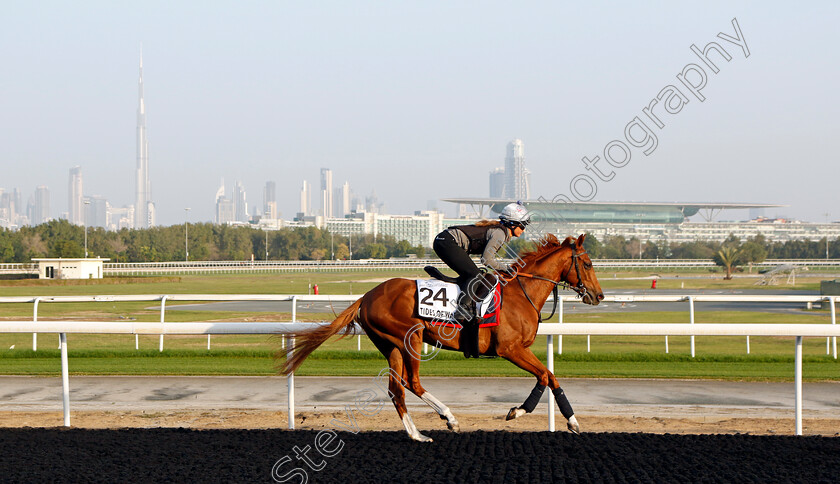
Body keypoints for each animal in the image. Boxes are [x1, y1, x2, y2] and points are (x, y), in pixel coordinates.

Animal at [282, 234, 604, 442]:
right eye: (588, 264)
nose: (598, 296)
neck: (521, 293)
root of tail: (366, 296)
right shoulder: (510, 349)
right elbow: (546, 376)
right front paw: (526, 413)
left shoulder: (519, 350)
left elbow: (549, 376)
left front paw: (563, 419)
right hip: (411, 338)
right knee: (412, 383)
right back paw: (449, 417)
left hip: (391, 346)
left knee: (395, 389)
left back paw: (417, 435)